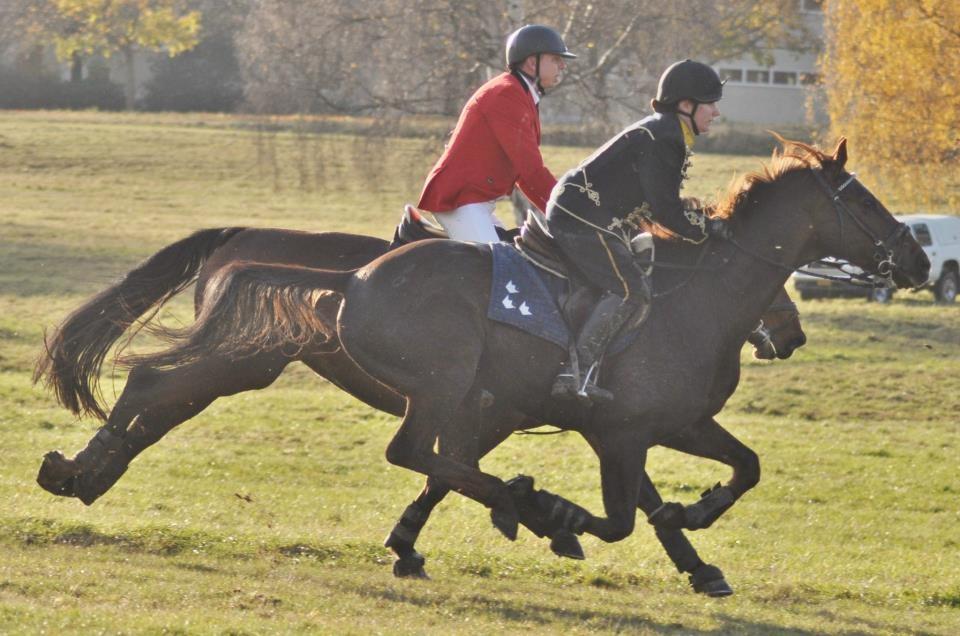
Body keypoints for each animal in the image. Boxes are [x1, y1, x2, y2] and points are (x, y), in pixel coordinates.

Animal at [101, 135, 928, 592]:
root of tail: (356, 278)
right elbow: (613, 517)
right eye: (863, 200)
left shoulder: (659, 424)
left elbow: (734, 472)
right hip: (395, 377)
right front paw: (551, 516)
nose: (919, 259)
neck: (694, 295)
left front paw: (694, 539)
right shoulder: (612, 430)